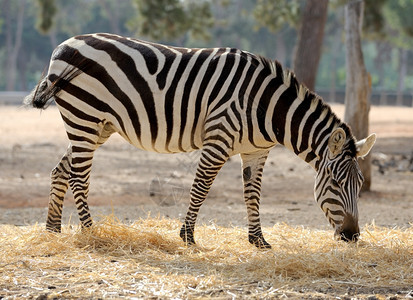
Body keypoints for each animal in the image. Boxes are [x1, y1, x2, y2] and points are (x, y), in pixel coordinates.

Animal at [24, 33, 374, 248]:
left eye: (359, 185)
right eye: (335, 183)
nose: (352, 236)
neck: (265, 106)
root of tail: (63, 45)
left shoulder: (256, 152)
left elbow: (253, 195)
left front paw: (258, 241)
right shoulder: (218, 139)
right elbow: (201, 187)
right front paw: (188, 236)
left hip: (97, 126)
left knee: (61, 170)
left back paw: (52, 230)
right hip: (85, 117)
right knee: (79, 177)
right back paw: (91, 232)